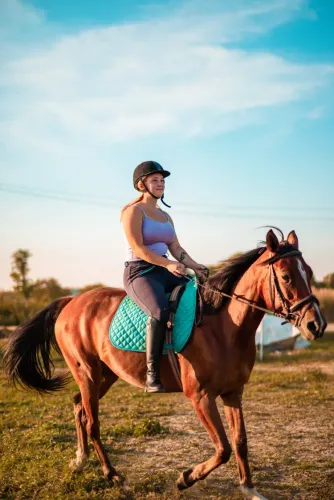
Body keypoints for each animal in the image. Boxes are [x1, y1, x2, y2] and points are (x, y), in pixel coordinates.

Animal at [3, 229, 326, 498]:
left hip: (105, 375)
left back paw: (80, 461)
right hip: (89, 374)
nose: (316, 325)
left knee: (79, 408)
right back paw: (113, 475)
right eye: (286, 276)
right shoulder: (200, 397)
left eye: (309, 272)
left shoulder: (233, 393)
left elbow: (240, 442)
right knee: (93, 422)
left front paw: (249, 488)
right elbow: (222, 448)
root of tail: (71, 301)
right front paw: (186, 478)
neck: (223, 325)